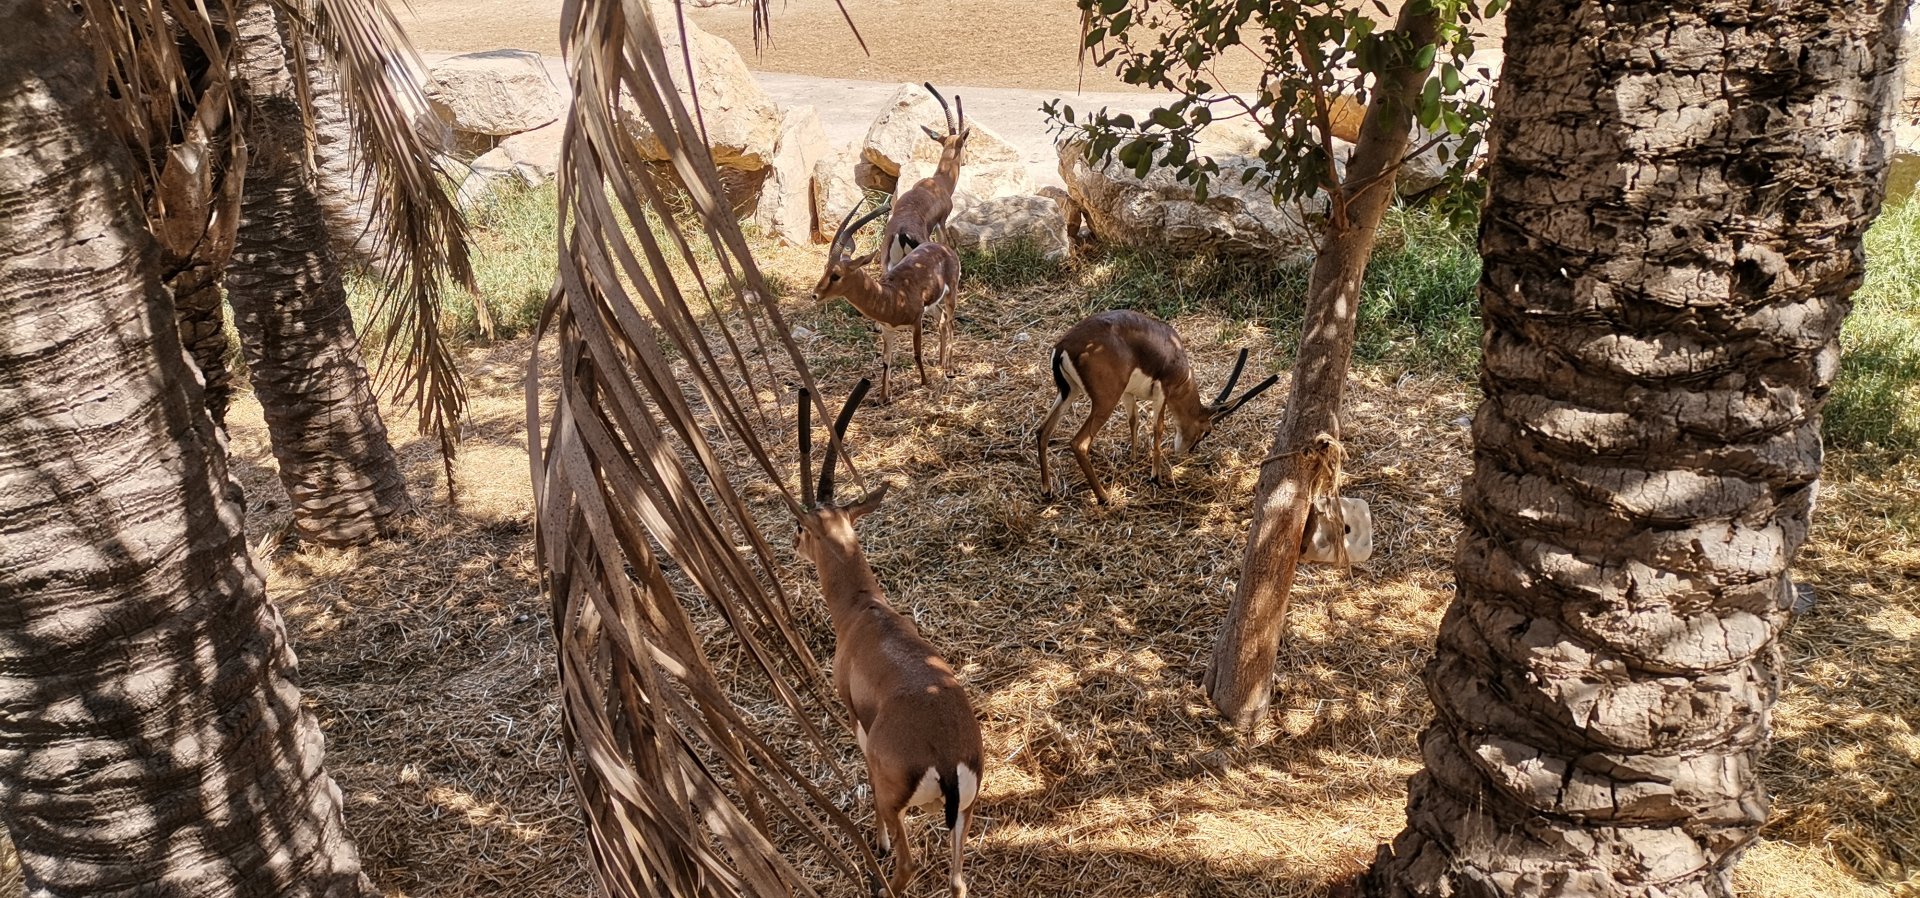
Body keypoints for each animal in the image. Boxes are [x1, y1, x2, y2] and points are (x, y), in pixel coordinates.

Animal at [792, 380, 985, 898]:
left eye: (801, 525)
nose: (794, 542)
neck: (865, 613)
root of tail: (946, 755)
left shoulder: (855, 720)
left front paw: (875, 844)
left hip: (897, 801)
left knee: (907, 865)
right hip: (965, 815)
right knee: (958, 882)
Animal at [812, 199, 960, 404]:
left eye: (836, 275)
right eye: (825, 269)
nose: (815, 295)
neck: (891, 296)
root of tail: (944, 248)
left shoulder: (916, 322)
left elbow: (916, 353)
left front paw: (924, 382)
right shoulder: (887, 329)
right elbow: (886, 360)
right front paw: (883, 397)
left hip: (951, 294)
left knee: (951, 321)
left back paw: (950, 368)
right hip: (932, 306)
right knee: (943, 318)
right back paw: (940, 362)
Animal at [1036, 310, 1279, 504]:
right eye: (1207, 431)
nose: (1186, 450)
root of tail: (1064, 346)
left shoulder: (1128, 393)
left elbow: (1134, 420)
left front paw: (1134, 458)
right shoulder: (1163, 390)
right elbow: (1158, 428)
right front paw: (1156, 477)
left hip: (1069, 392)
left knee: (1042, 431)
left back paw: (1047, 490)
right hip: (1104, 401)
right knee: (1079, 443)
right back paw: (1104, 497)